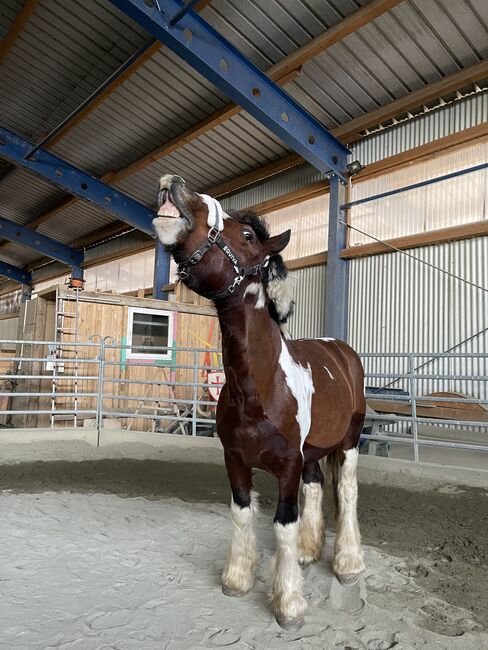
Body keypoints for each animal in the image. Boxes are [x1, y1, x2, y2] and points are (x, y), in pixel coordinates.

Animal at [154, 172, 364, 628]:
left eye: (247, 234)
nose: (173, 185)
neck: (260, 388)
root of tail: (342, 351)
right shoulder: (235, 459)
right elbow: (242, 512)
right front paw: (238, 579)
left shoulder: (286, 465)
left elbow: (283, 522)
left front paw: (289, 604)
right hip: (314, 451)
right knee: (317, 487)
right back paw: (308, 552)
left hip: (350, 442)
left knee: (347, 491)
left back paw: (348, 564)